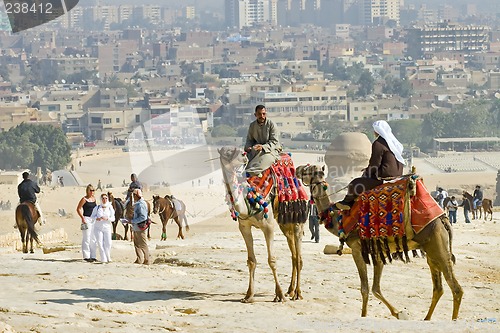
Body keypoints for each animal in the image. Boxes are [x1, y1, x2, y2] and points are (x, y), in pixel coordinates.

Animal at [294, 165, 462, 320]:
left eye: (308, 170)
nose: (297, 169)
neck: (340, 219)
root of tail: (444, 220)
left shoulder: (356, 248)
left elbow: (365, 288)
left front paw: (365, 315)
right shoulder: (378, 251)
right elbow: (376, 288)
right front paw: (399, 313)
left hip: (438, 246)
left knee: (456, 288)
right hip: (431, 251)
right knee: (438, 288)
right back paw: (426, 319)